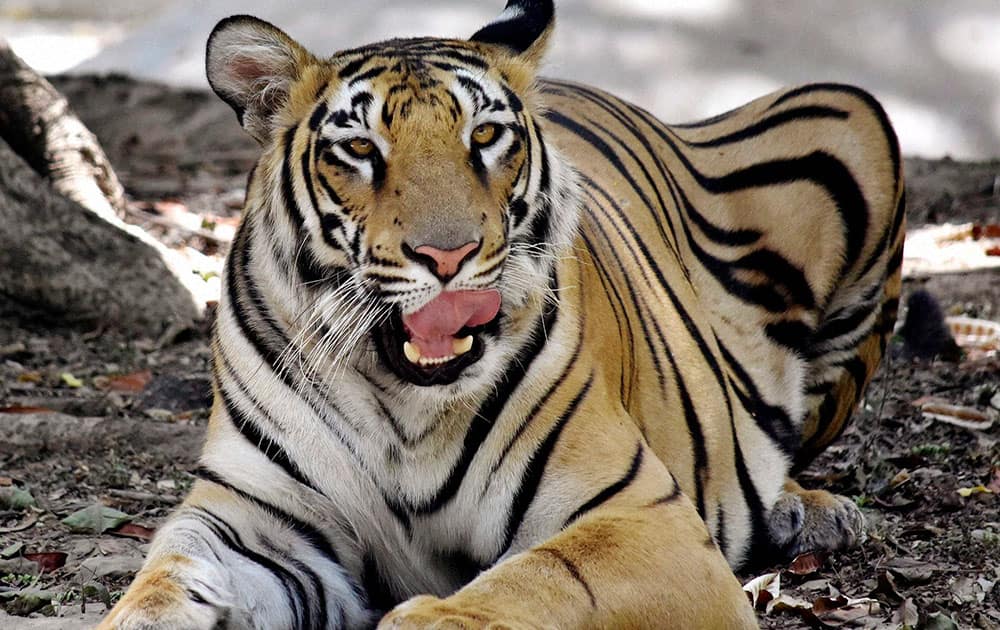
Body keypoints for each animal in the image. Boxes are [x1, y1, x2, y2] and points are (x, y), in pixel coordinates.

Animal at [99, 1, 908, 630]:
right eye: (359, 148)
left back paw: (810, 512)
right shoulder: (249, 524)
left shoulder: (643, 519)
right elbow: (162, 583)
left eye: (484, 137)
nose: (447, 255)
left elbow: (533, 584)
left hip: (855, 119)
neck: (403, 404)